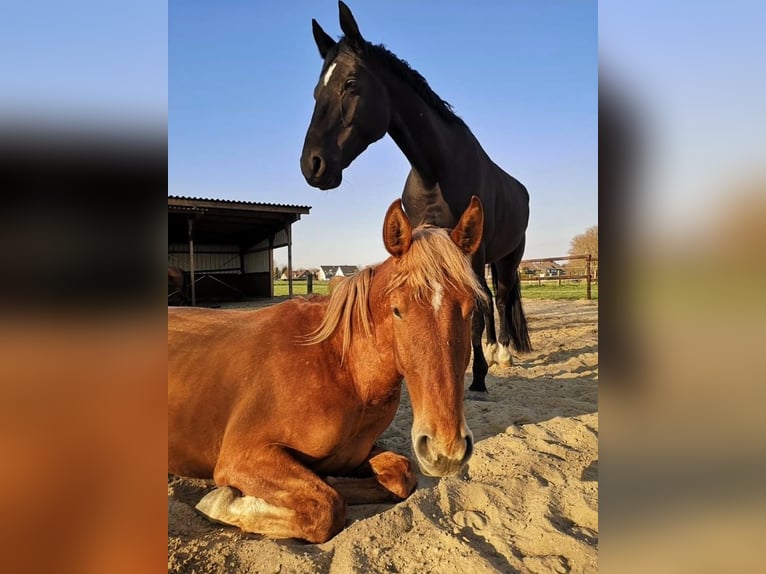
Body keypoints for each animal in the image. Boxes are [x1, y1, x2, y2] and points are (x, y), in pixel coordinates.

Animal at [171, 198, 488, 544]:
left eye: (471, 308)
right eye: (397, 310)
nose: (447, 451)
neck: (340, 370)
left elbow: (399, 474)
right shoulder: (242, 457)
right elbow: (327, 506)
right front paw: (223, 502)